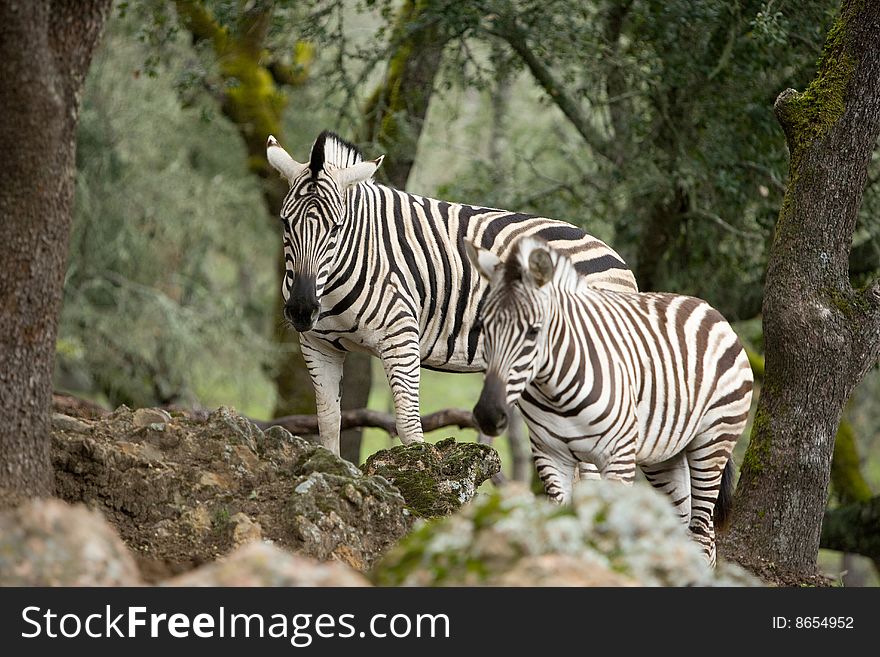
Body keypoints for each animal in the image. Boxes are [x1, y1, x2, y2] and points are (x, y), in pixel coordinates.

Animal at [264, 128, 636, 456]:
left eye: (337, 228)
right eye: (284, 223)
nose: (301, 309)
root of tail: (616, 259)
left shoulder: (401, 340)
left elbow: (409, 427)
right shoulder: (319, 347)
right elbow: (328, 423)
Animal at [470, 233, 752, 560]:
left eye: (533, 332)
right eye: (482, 327)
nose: (488, 414)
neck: (555, 391)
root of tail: (707, 307)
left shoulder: (619, 456)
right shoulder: (549, 455)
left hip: (713, 441)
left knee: (703, 533)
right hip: (665, 454)